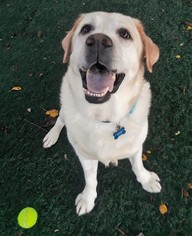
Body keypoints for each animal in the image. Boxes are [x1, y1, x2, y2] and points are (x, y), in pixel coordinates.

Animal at [42, 12, 161, 216]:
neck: (104, 117)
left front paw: (146, 180)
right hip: (65, 108)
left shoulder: (136, 145)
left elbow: (138, 165)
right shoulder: (85, 155)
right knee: (60, 119)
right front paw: (87, 199)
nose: (97, 40)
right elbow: (90, 179)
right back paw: (51, 135)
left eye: (124, 33)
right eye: (86, 29)